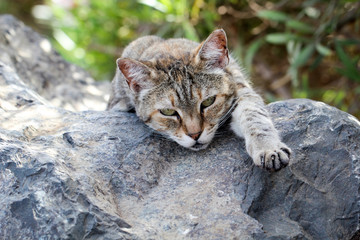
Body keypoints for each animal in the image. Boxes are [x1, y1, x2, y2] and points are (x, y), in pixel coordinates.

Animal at [106, 29, 290, 172]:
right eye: (168, 112)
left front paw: (268, 147)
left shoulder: (242, 91)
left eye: (208, 102)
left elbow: (255, 116)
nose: (195, 135)